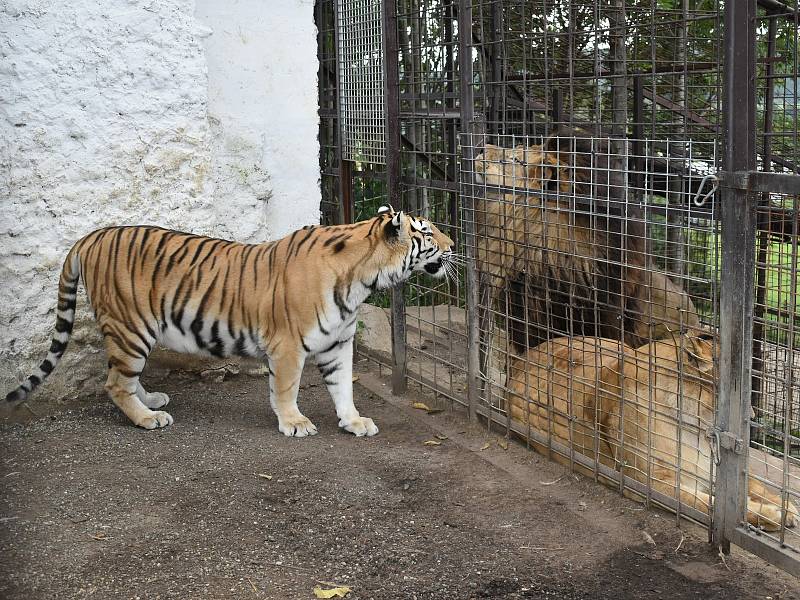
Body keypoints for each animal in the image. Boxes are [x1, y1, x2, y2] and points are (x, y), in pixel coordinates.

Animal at [4, 206, 456, 436]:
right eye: (428, 232)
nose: (454, 244)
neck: (365, 280)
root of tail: (90, 236)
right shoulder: (287, 345)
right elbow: (286, 389)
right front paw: (294, 423)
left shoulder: (338, 344)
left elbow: (343, 387)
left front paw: (353, 421)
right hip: (131, 327)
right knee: (115, 382)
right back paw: (147, 419)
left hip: (128, 333)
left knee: (121, 377)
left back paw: (151, 401)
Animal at [506, 332, 792, 528]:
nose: (752, 420)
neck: (695, 430)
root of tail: (520, 360)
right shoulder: (650, 482)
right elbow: (706, 504)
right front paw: (774, 516)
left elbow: (754, 486)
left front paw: (786, 506)